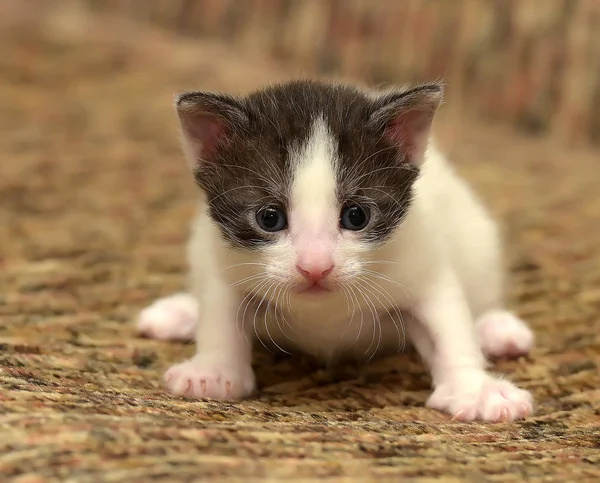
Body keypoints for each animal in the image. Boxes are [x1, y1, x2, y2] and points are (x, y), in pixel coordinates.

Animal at [139, 80, 536, 424]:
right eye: (269, 218)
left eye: (356, 216)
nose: (315, 267)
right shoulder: (222, 260)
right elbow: (220, 311)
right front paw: (212, 371)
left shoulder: (423, 260)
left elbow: (448, 322)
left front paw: (476, 388)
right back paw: (182, 312)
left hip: (478, 241)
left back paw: (495, 328)